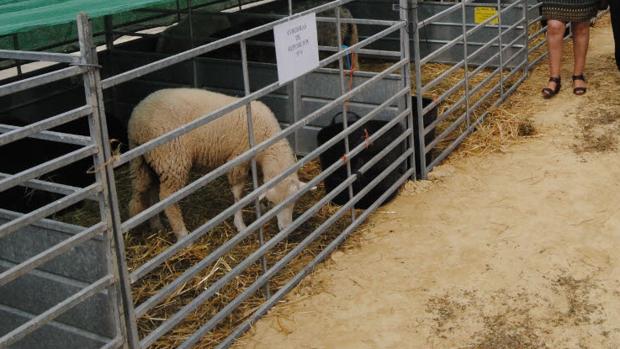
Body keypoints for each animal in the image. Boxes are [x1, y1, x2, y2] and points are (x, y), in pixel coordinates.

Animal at [127, 87, 306, 239]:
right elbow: (238, 193)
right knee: (167, 198)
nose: (286, 230)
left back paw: (156, 225)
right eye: (275, 202)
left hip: (148, 162)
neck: (267, 139)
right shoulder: (237, 159)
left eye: (294, 202)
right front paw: (240, 225)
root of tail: (136, 121)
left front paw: (260, 206)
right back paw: (183, 235)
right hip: (172, 159)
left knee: (150, 189)